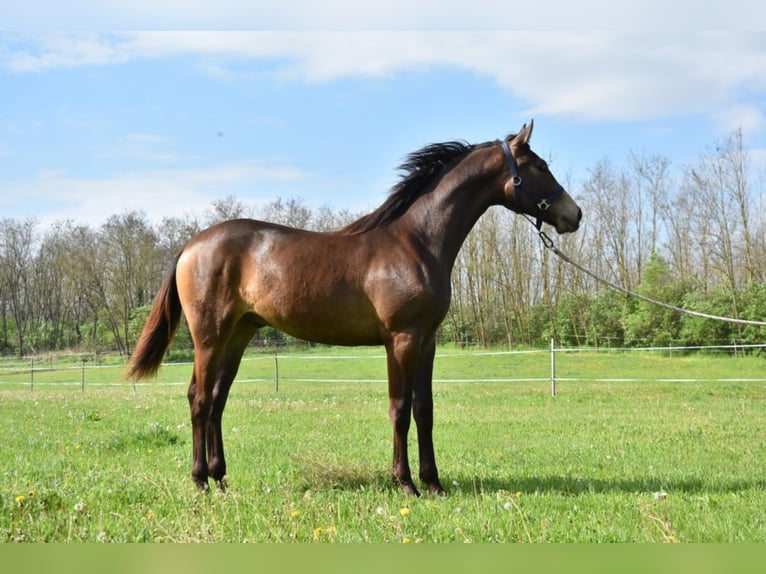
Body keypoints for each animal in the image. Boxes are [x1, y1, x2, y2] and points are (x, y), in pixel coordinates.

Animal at [128, 120, 582, 496]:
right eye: (539, 165)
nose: (573, 214)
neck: (415, 241)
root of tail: (191, 246)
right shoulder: (401, 340)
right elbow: (400, 410)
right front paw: (406, 484)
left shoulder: (427, 341)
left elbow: (424, 410)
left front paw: (434, 484)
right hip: (209, 337)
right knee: (199, 399)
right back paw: (201, 481)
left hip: (238, 336)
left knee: (217, 400)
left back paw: (221, 479)